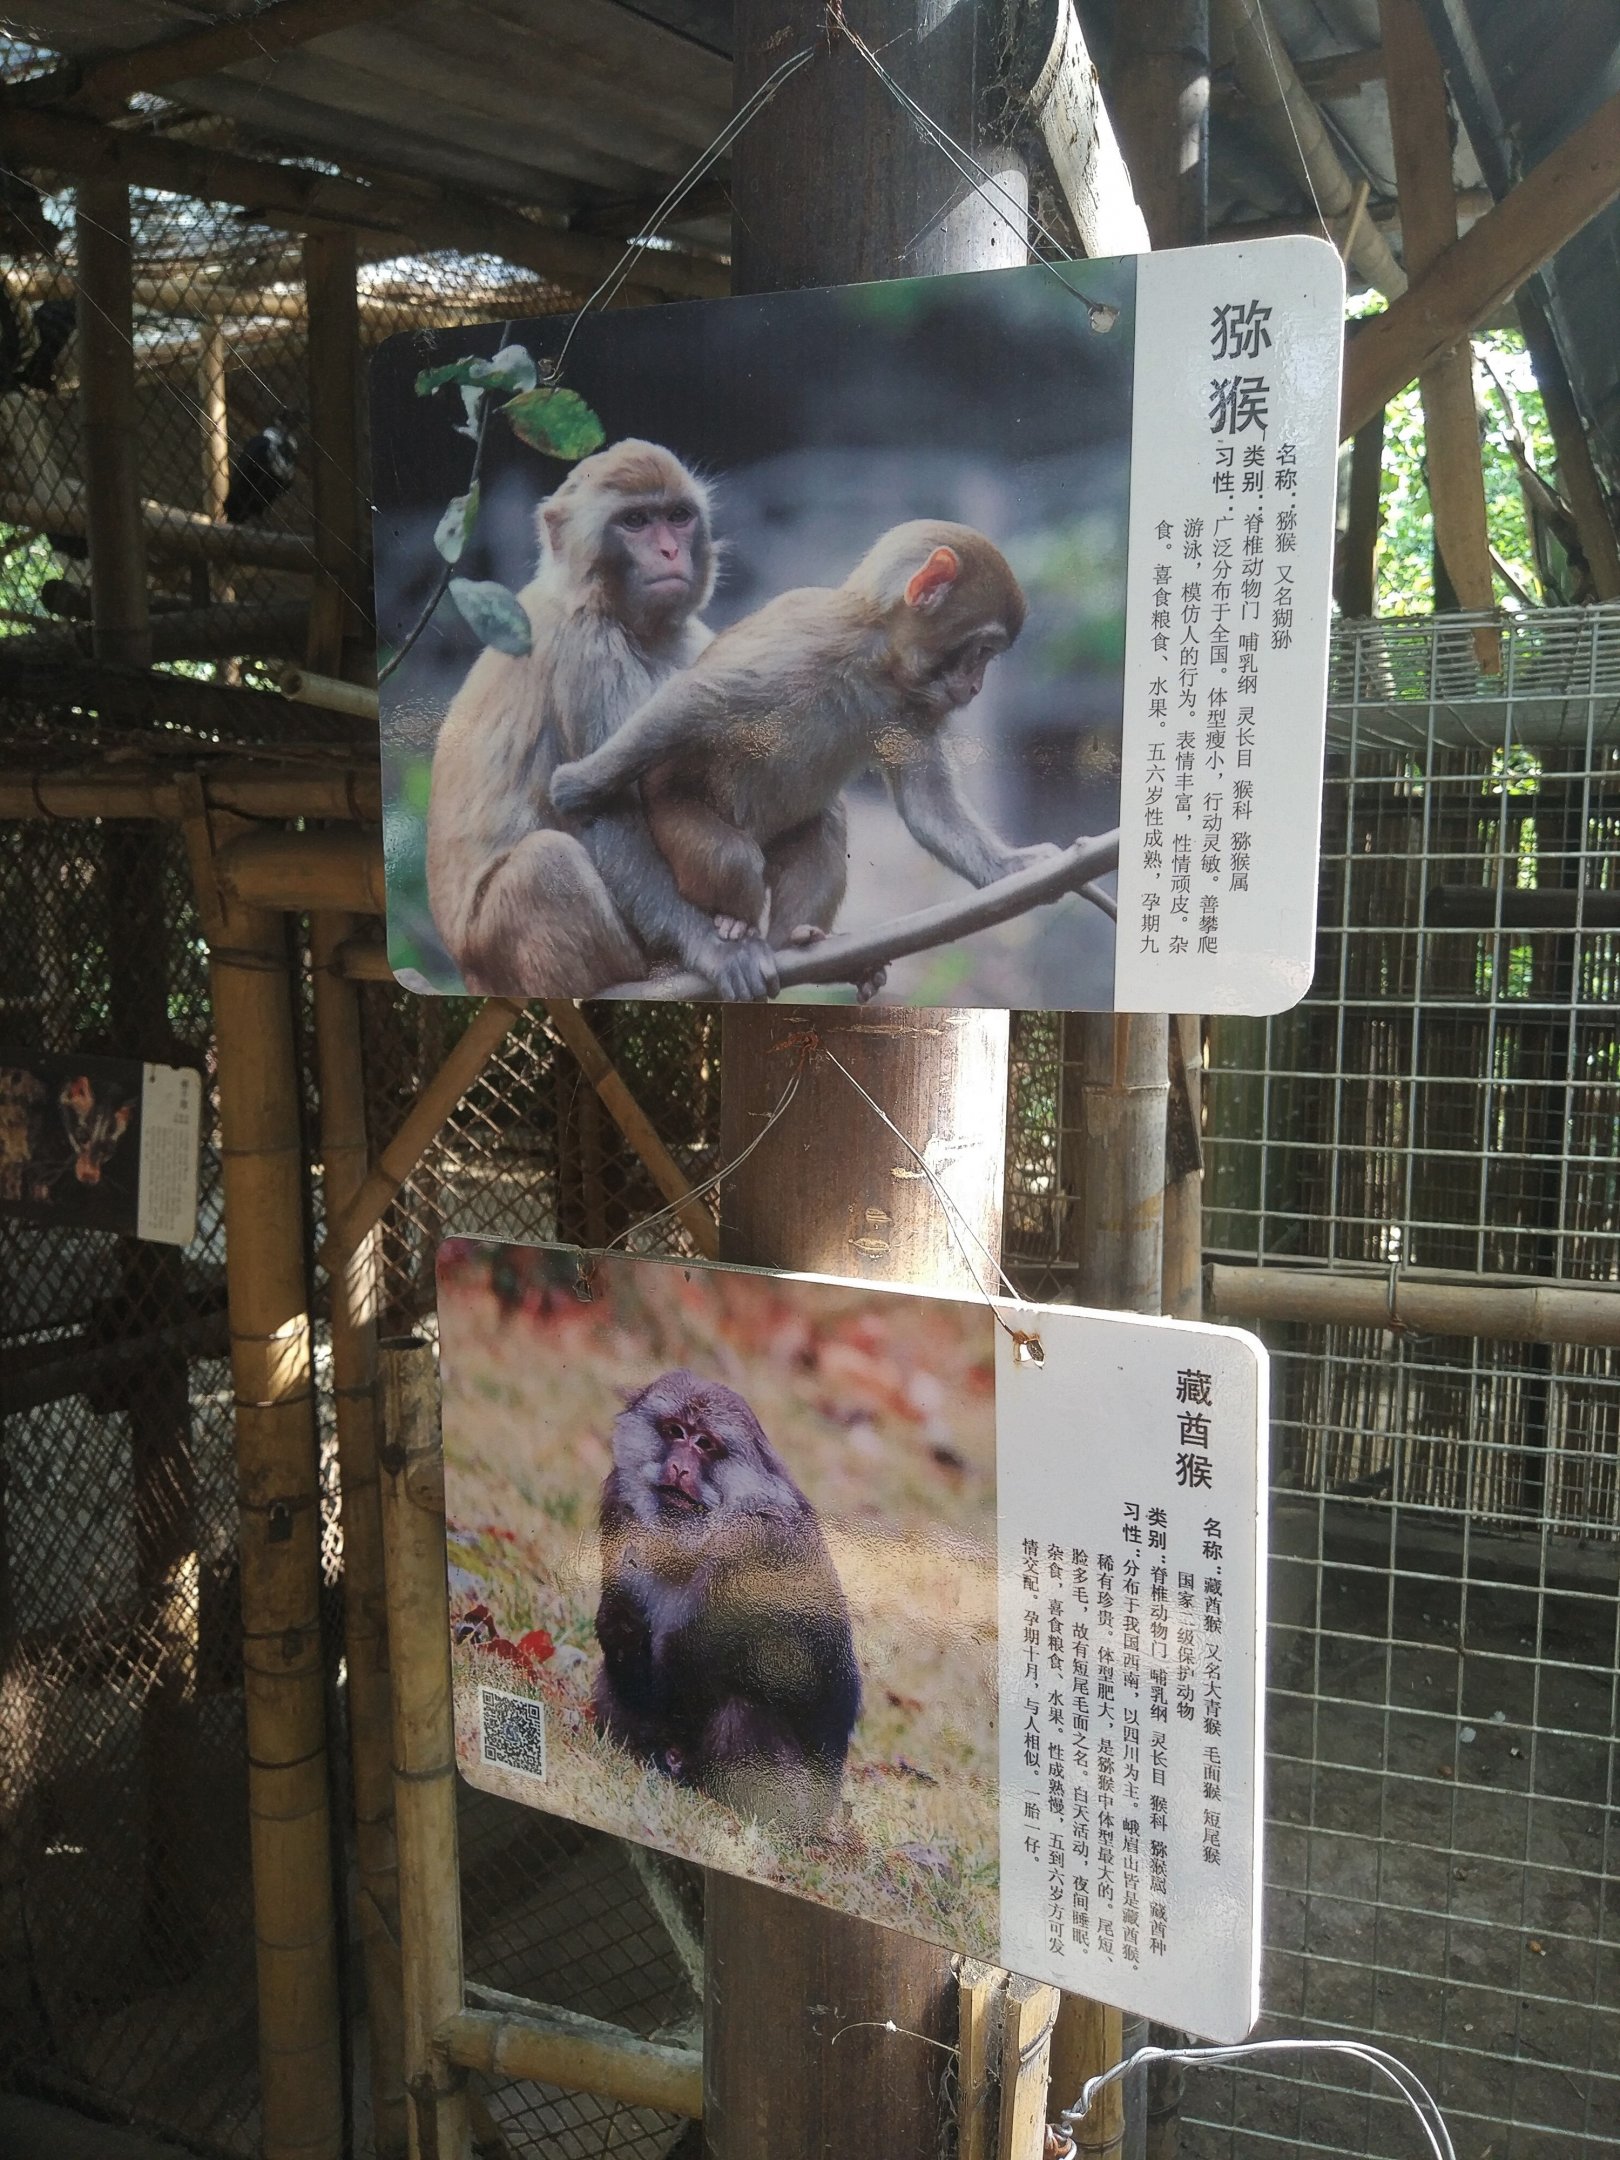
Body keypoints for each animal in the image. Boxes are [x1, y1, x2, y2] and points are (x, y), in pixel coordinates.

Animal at [425, 438, 779, 1001]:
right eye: (634, 521)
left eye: (677, 517)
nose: (669, 552)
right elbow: (605, 808)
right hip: (498, 956)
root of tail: (467, 974)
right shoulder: (586, 654)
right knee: (544, 864)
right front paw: (714, 947)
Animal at [548, 519, 1057, 953]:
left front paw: (1011, 867)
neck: (878, 660)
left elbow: (927, 805)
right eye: (982, 651)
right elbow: (696, 699)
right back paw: (732, 921)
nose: (976, 687)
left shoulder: (915, 706)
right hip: (675, 812)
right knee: (732, 855)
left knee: (825, 833)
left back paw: (795, 939)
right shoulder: (809, 639)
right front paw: (581, 783)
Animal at [593, 1369, 862, 1834]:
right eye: (675, 1431)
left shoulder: (760, 1549)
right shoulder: (618, 1506)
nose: (679, 1466)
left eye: (704, 1443)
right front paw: (619, 1625)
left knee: (741, 1707)